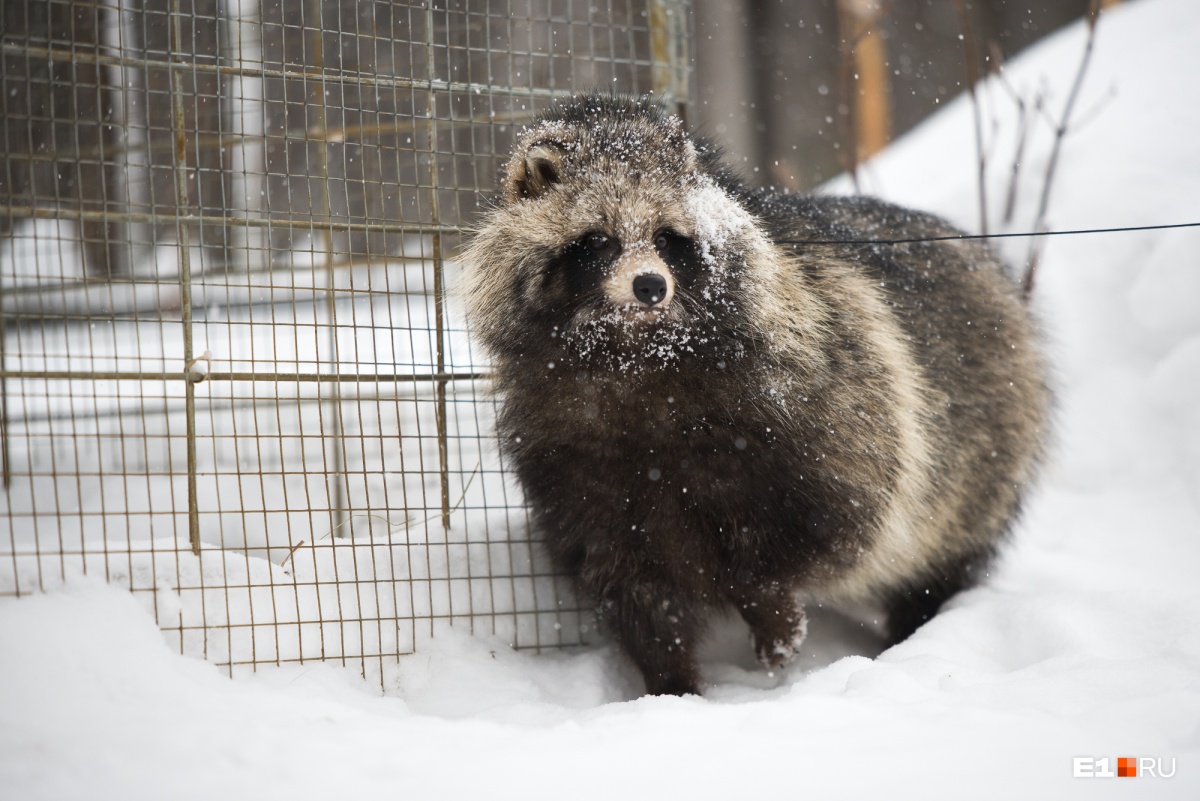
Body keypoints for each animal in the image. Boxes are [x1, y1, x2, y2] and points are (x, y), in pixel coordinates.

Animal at [460, 92, 1051, 695]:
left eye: (666, 237)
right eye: (599, 239)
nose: (650, 286)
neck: (637, 356)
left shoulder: (823, 393)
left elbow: (834, 521)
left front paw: (768, 607)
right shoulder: (571, 454)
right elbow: (633, 582)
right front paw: (671, 685)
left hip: (983, 454)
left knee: (935, 557)